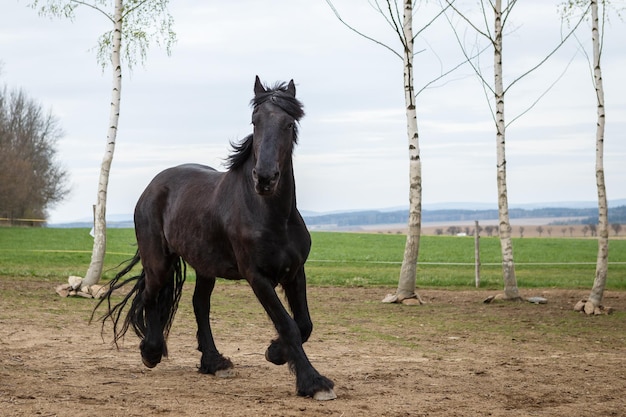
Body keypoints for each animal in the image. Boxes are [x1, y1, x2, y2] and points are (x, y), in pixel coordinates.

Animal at [95, 76, 334, 398]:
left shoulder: (295, 272)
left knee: (199, 304)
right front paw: (313, 382)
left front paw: (275, 353)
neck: (273, 216)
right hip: (158, 262)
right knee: (152, 296)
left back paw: (214, 362)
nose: (265, 178)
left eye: (288, 123)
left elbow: (304, 325)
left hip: (205, 267)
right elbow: (288, 325)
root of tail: (154, 185)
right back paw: (151, 352)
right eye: (255, 121)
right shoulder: (257, 277)